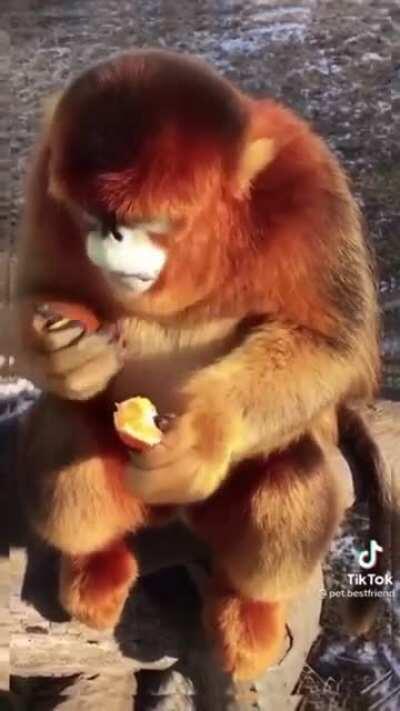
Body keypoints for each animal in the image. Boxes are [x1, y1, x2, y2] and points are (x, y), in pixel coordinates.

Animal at [14, 49, 389, 680]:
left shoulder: (310, 187)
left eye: (147, 223)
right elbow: (37, 288)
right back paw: (96, 563)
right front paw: (64, 356)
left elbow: (332, 343)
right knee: (67, 428)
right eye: (92, 214)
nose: (111, 234)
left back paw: (251, 608)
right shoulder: (46, 171)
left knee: (297, 470)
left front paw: (207, 433)